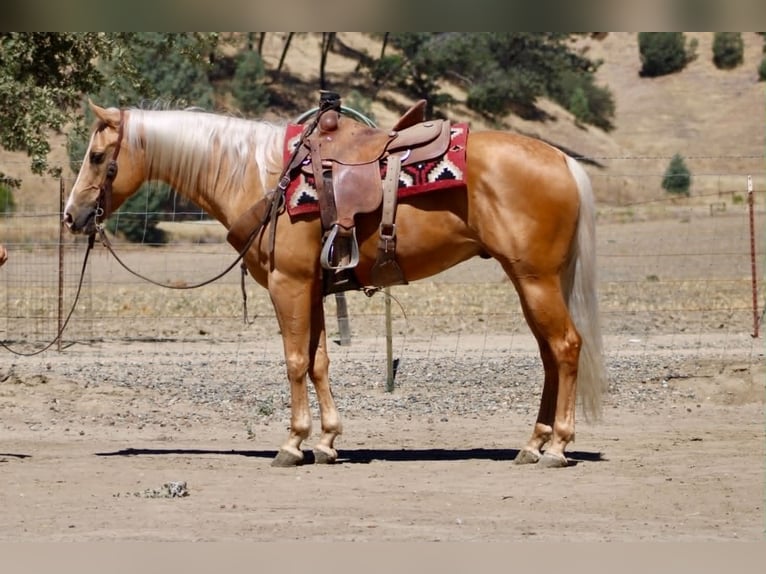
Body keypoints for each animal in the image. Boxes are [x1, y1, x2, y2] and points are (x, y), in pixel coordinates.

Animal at [63, 100, 606, 468]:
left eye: (97, 156)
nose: (72, 215)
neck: (263, 176)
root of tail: (563, 160)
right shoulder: (314, 289)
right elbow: (320, 361)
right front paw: (326, 441)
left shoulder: (288, 284)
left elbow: (294, 361)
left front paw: (292, 442)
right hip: (532, 281)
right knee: (550, 354)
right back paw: (533, 443)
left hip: (535, 280)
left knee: (566, 346)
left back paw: (558, 445)